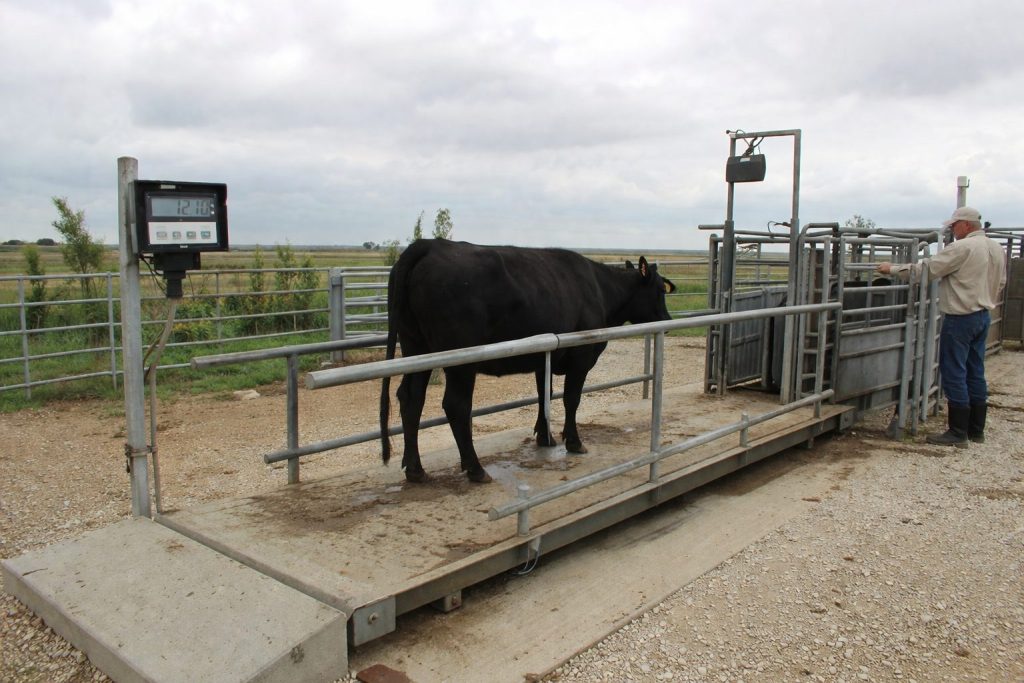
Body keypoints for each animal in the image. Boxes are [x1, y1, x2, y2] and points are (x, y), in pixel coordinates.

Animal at [379, 239, 676, 483]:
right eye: (659, 291)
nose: (669, 320)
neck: (601, 291)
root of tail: (430, 244)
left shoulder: (543, 357)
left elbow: (545, 394)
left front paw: (546, 437)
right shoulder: (581, 356)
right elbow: (571, 399)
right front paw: (574, 442)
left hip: (415, 346)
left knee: (411, 398)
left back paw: (415, 469)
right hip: (461, 359)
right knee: (456, 405)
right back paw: (475, 469)